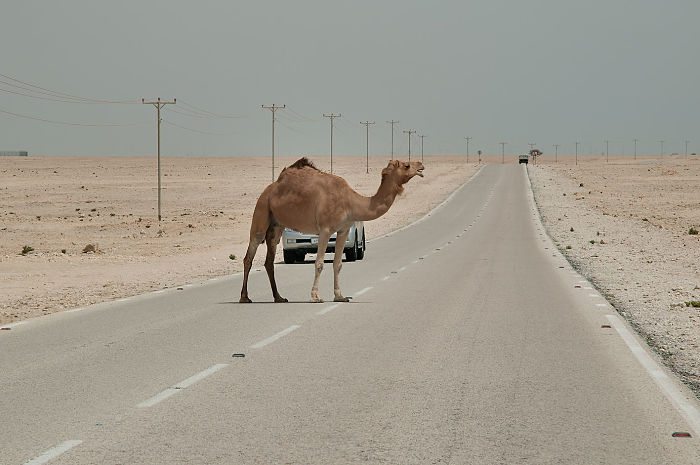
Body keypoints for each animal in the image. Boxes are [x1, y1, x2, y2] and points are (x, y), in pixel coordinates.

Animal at [239, 157, 424, 303]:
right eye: (407, 165)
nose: (421, 165)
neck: (351, 202)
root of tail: (270, 189)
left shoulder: (343, 230)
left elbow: (338, 264)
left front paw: (340, 296)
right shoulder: (325, 230)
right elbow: (320, 263)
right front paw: (315, 297)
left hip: (276, 225)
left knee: (269, 260)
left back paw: (279, 297)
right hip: (261, 210)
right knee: (249, 254)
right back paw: (245, 297)